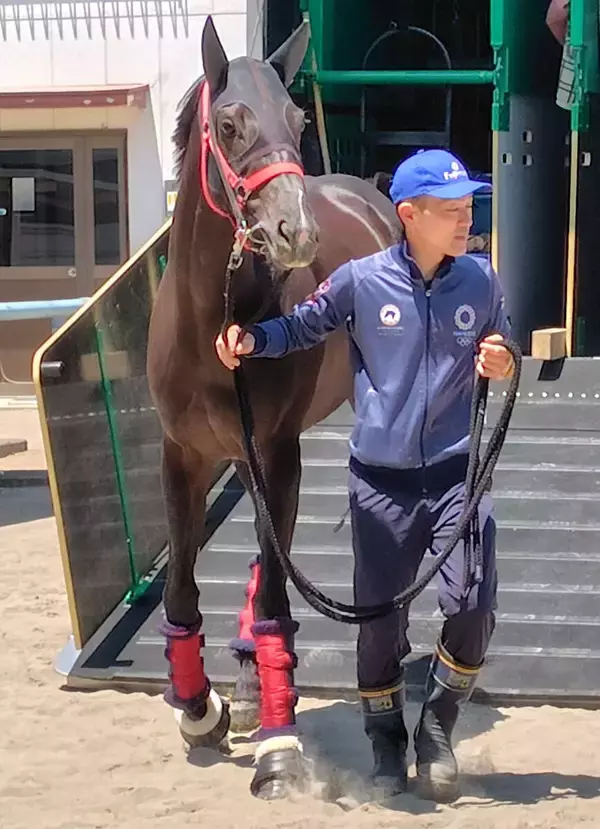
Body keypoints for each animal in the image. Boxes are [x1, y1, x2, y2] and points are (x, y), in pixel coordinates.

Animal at [146, 15, 403, 799]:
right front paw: (200, 707)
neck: (216, 322)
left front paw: (280, 745)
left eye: (297, 121)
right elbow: (180, 591)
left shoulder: (278, 452)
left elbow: (278, 604)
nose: (297, 232)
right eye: (229, 125)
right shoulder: (185, 457)